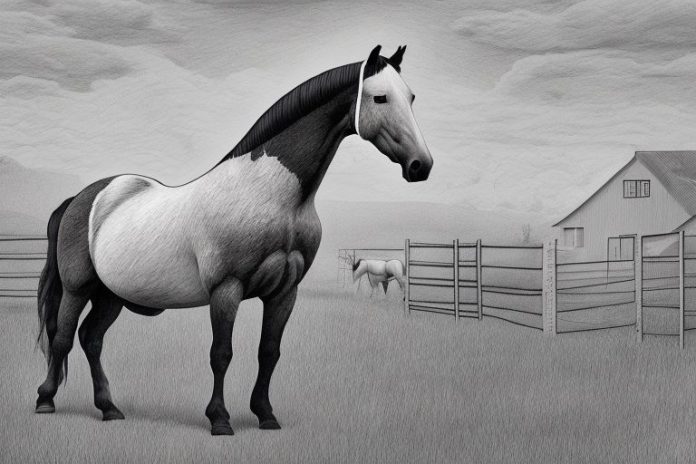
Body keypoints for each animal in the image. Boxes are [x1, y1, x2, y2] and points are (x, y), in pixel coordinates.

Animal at [33, 45, 432, 436]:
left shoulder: (284, 292)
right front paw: (220, 419)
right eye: (379, 97)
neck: (270, 195)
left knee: (92, 339)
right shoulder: (227, 289)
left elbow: (269, 352)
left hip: (111, 295)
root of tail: (83, 197)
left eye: (411, 97)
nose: (421, 166)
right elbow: (221, 353)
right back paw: (46, 400)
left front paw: (265, 415)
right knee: (63, 338)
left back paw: (109, 408)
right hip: (78, 288)